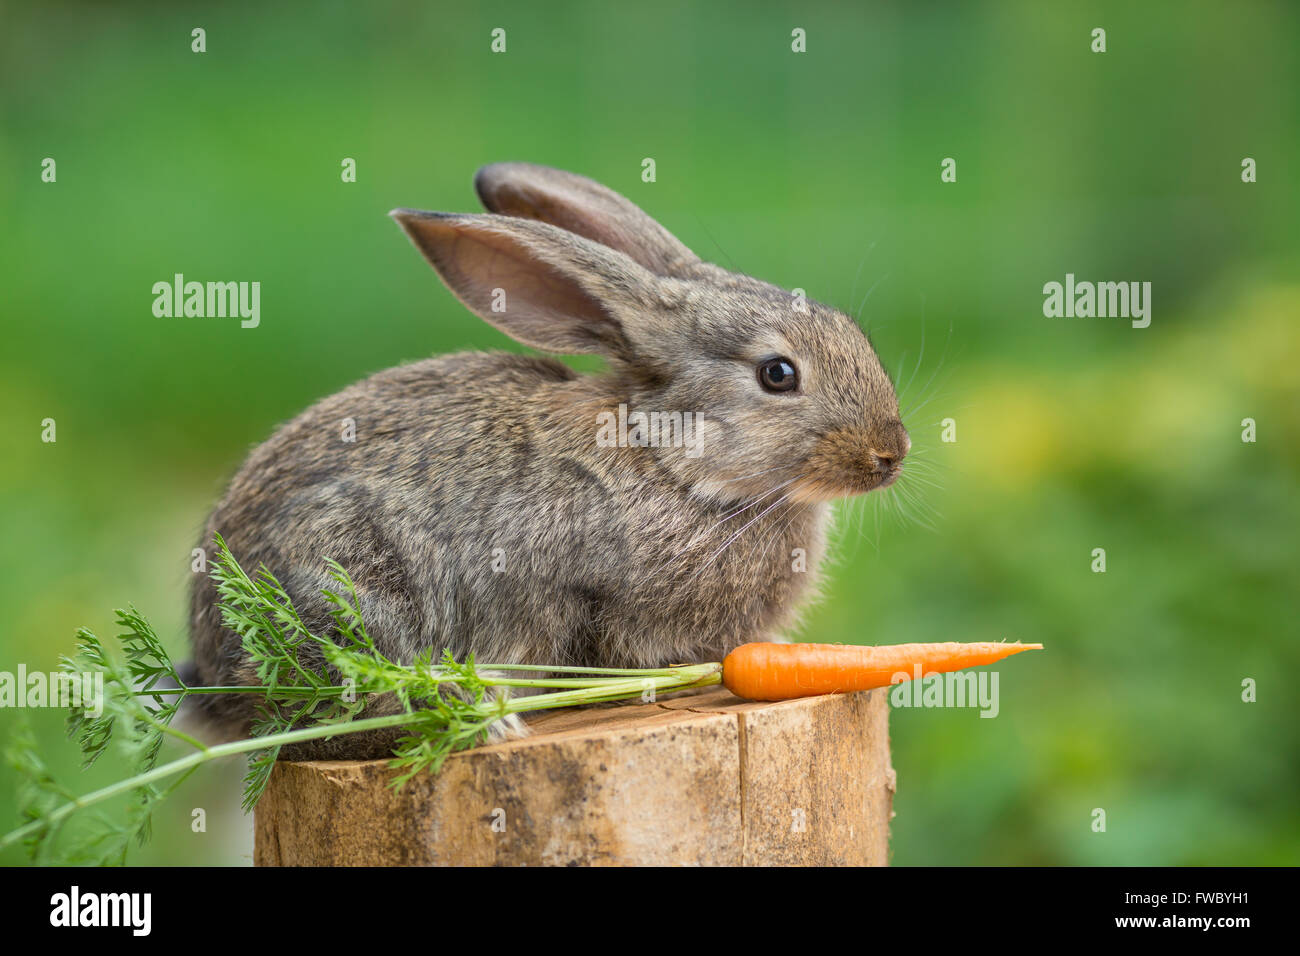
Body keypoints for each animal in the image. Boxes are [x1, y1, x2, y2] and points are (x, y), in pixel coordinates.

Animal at [184, 162, 910, 759]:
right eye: (777, 374)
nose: (890, 453)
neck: (671, 461)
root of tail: (212, 677)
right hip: (343, 593)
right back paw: (481, 718)